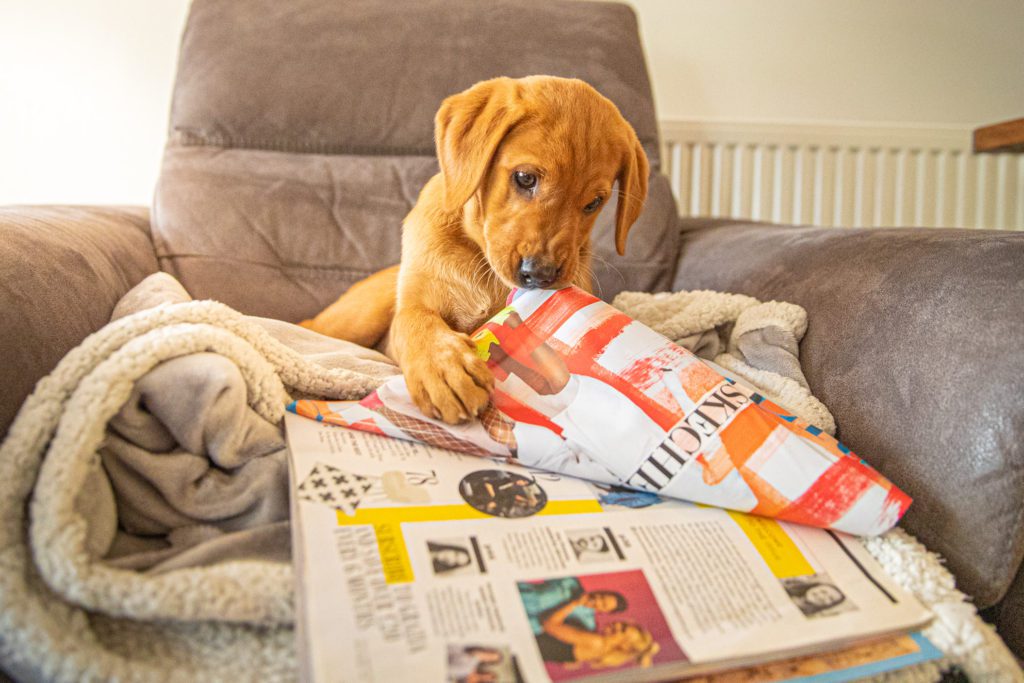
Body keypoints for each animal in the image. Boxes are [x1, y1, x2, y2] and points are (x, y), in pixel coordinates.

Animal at [299, 77, 647, 423]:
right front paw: (444, 367)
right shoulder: (414, 305)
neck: (482, 264)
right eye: (525, 178)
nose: (541, 274)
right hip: (364, 313)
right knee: (309, 327)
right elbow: (416, 322)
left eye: (594, 203)